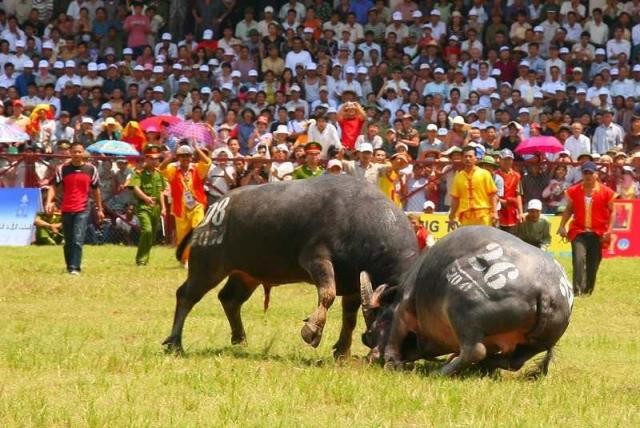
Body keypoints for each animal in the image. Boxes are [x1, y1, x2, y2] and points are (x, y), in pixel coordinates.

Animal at [162, 174, 418, 358]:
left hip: (246, 274)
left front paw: (342, 351)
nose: (371, 342)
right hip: (209, 266)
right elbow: (327, 293)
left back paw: (240, 339)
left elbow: (349, 317)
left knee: (229, 298)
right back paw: (174, 343)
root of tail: (213, 210)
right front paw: (312, 330)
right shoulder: (316, 260)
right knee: (186, 295)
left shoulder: (354, 284)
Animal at [360, 226, 576, 376]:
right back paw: (479, 366)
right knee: (513, 362)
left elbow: (395, 332)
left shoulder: (403, 309)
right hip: (537, 343)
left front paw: (391, 361)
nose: (371, 356)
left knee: (475, 350)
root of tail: (547, 288)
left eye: (372, 331)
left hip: (461, 314)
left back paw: (441, 372)